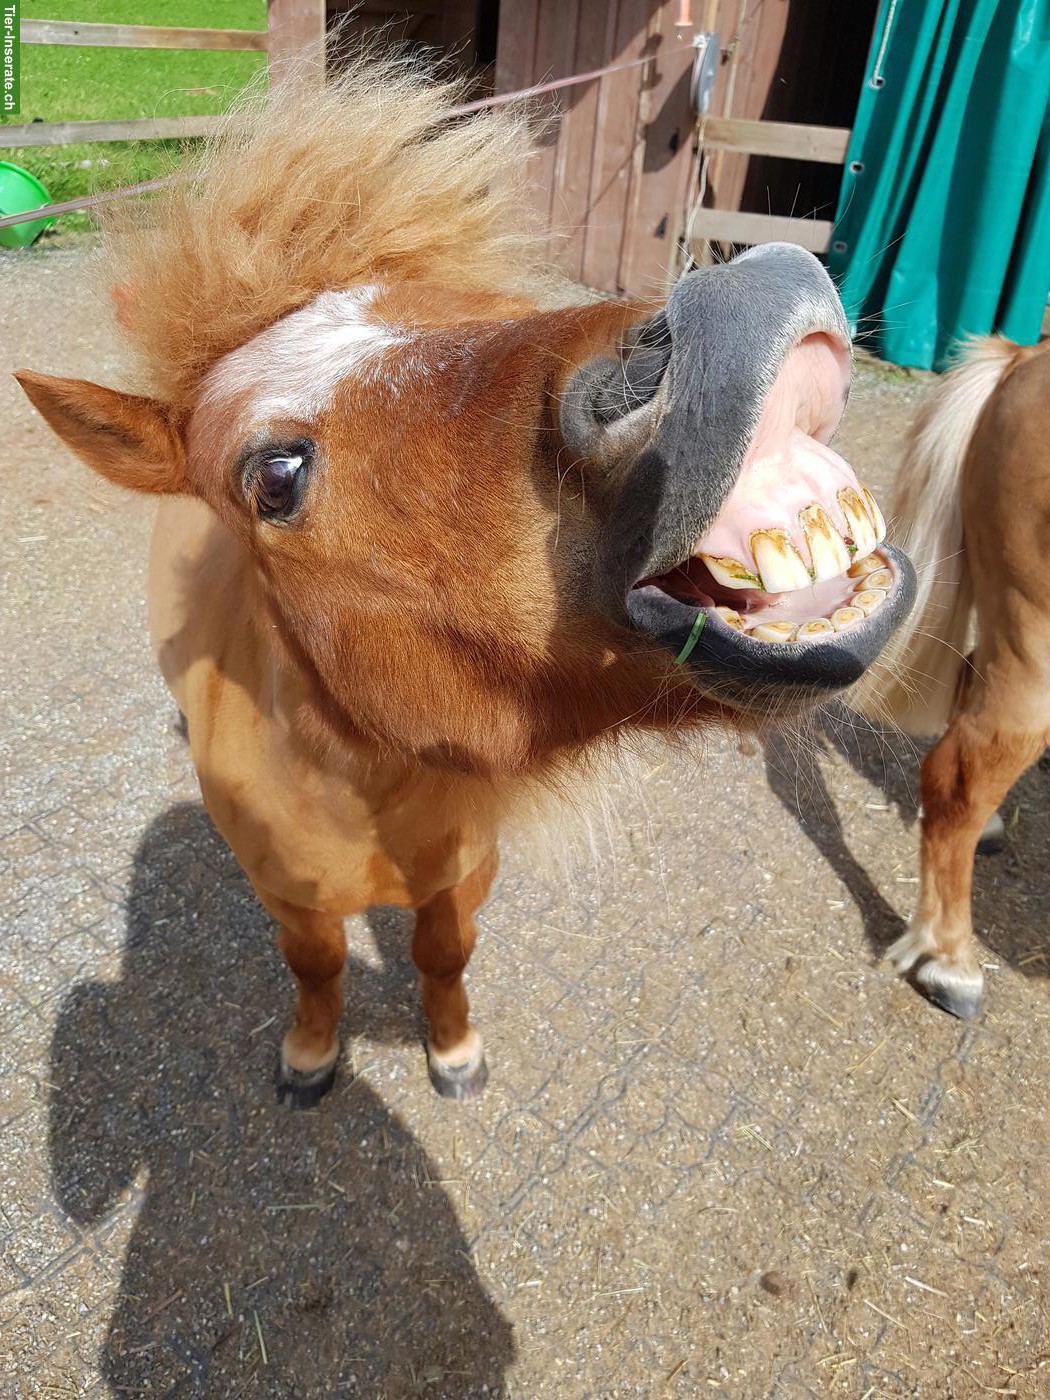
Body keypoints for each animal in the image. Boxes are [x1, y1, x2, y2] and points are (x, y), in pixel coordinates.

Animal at [15, 58, 915, 1106]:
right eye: (273, 477)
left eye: (469, 308)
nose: (748, 293)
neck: (367, 787)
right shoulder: (287, 894)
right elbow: (316, 966)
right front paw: (311, 1054)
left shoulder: (462, 873)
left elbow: (444, 954)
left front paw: (452, 1049)